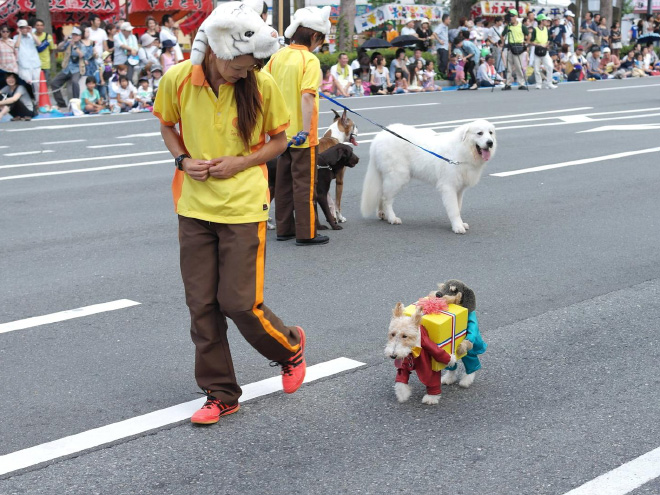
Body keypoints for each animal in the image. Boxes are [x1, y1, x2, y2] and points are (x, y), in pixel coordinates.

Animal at [360, 121, 496, 235]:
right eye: (479, 133)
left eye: (490, 133)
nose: (490, 143)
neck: (462, 150)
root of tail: (378, 137)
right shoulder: (449, 187)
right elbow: (454, 210)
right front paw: (457, 227)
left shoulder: (459, 190)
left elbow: (458, 208)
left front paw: (460, 224)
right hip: (398, 177)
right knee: (386, 199)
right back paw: (392, 218)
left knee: (381, 195)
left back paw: (382, 214)